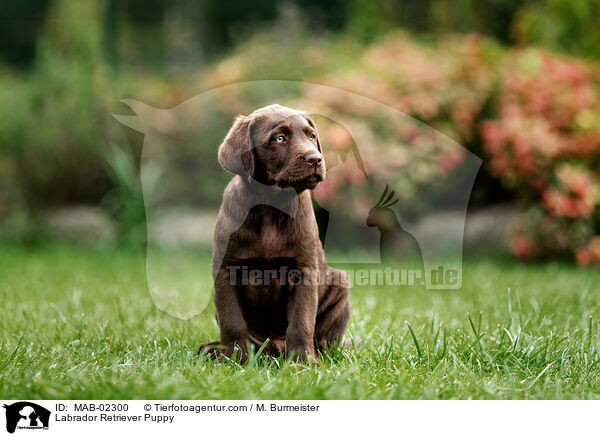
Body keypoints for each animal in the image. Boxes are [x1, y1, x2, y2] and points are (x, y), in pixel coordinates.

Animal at [200, 104, 352, 362]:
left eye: (312, 136)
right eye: (279, 138)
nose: (315, 159)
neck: (271, 205)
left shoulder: (305, 270)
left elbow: (301, 321)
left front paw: (302, 362)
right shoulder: (225, 270)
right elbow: (233, 320)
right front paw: (232, 359)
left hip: (339, 284)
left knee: (324, 341)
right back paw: (214, 349)